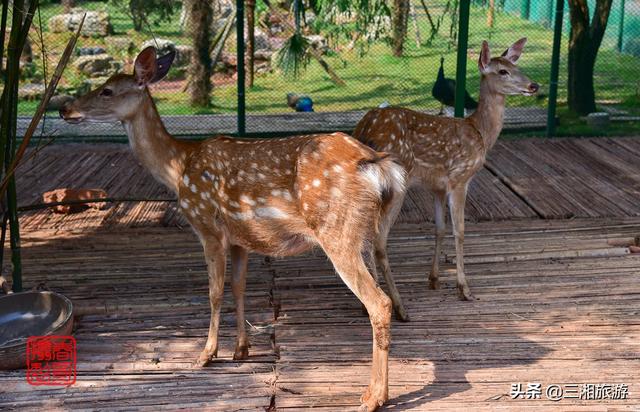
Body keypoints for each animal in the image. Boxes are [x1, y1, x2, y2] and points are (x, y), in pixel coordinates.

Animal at [62, 46, 408, 410]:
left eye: (107, 90)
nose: (64, 108)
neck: (178, 169)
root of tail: (377, 165)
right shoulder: (241, 238)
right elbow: (239, 287)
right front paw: (241, 349)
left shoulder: (207, 227)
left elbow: (214, 292)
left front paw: (206, 354)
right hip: (366, 233)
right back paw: (379, 390)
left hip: (336, 231)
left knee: (378, 303)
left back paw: (372, 397)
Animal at [352, 38, 536, 300]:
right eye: (502, 71)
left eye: (516, 66)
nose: (534, 85)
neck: (480, 133)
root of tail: (365, 127)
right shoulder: (459, 178)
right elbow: (460, 230)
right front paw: (464, 288)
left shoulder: (437, 186)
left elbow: (439, 229)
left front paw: (434, 279)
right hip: (396, 183)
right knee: (378, 240)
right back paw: (396, 303)